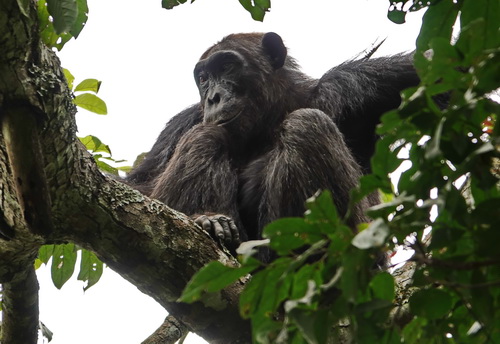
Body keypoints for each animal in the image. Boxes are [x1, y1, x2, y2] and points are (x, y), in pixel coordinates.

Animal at [127, 33, 420, 262]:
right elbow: (142, 187)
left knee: (306, 124)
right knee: (206, 135)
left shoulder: (356, 86)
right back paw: (210, 223)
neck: (268, 118)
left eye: (227, 66)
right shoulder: (181, 123)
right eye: (203, 77)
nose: (213, 97)